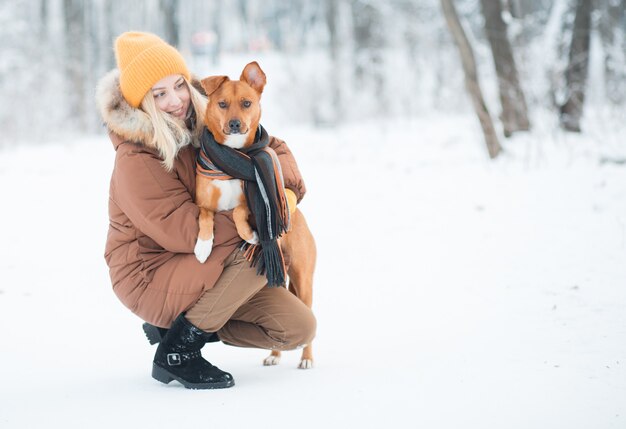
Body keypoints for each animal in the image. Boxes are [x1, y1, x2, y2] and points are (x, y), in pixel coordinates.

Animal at [191, 62, 314, 368]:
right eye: (222, 104)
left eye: (246, 103)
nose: (235, 124)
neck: (232, 158)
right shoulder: (201, 202)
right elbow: (205, 215)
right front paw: (203, 246)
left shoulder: (249, 203)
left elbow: (238, 210)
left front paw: (251, 234)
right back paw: (274, 355)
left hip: (304, 279)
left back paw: (306, 358)